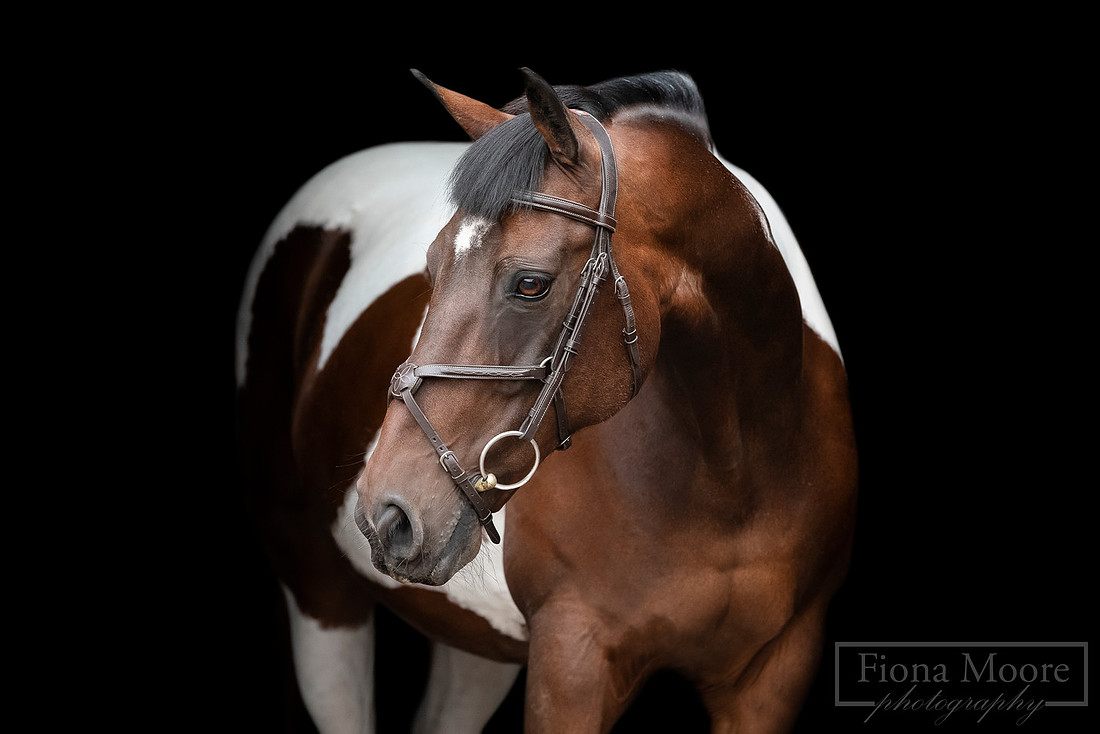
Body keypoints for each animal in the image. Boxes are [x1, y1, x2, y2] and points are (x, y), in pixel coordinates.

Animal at [235, 67, 857, 733]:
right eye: (431, 266)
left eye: (531, 284)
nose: (387, 514)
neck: (733, 476)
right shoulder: (573, 661)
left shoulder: (773, 675)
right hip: (320, 592)